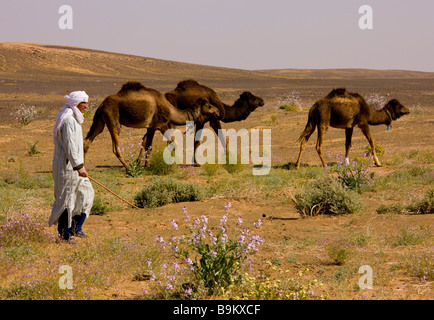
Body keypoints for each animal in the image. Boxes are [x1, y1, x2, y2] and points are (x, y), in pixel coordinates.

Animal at [83, 81, 220, 169]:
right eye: (209, 106)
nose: (218, 111)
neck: (170, 110)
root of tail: (101, 105)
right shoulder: (159, 124)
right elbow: (167, 144)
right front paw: (157, 165)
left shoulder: (151, 127)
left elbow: (150, 145)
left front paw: (146, 165)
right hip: (113, 119)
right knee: (115, 147)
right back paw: (128, 168)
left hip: (100, 121)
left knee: (87, 141)